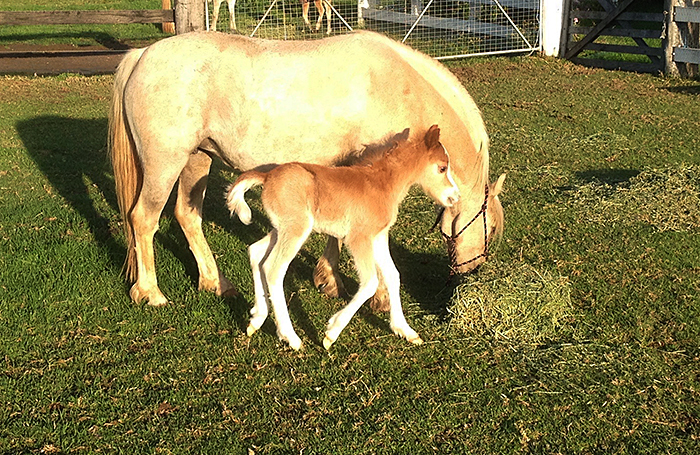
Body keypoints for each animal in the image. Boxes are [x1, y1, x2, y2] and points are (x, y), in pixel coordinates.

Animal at [108, 31, 506, 308]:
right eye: (489, 228)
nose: (472, 272)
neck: (397, 87)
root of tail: (142, 55)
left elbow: (336, 231)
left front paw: (329, 280)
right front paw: (378, 296)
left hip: (197, 159)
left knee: (187, 216)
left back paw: (215, 283)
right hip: (165, 164)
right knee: (143, 219)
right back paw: (151, 292)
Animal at [226, 125, 458, 350]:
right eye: (442, 167)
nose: (454, 197)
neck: (382, 183)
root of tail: (267, 176)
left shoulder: (378, 237)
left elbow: (393, 275)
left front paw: (405, 330)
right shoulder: (358, 238)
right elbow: (370, 282)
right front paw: (331, 333)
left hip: (282, 229)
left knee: (256, 253)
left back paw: (256, 319)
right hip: (296, 229)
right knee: (274, 270)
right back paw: (290, 337)